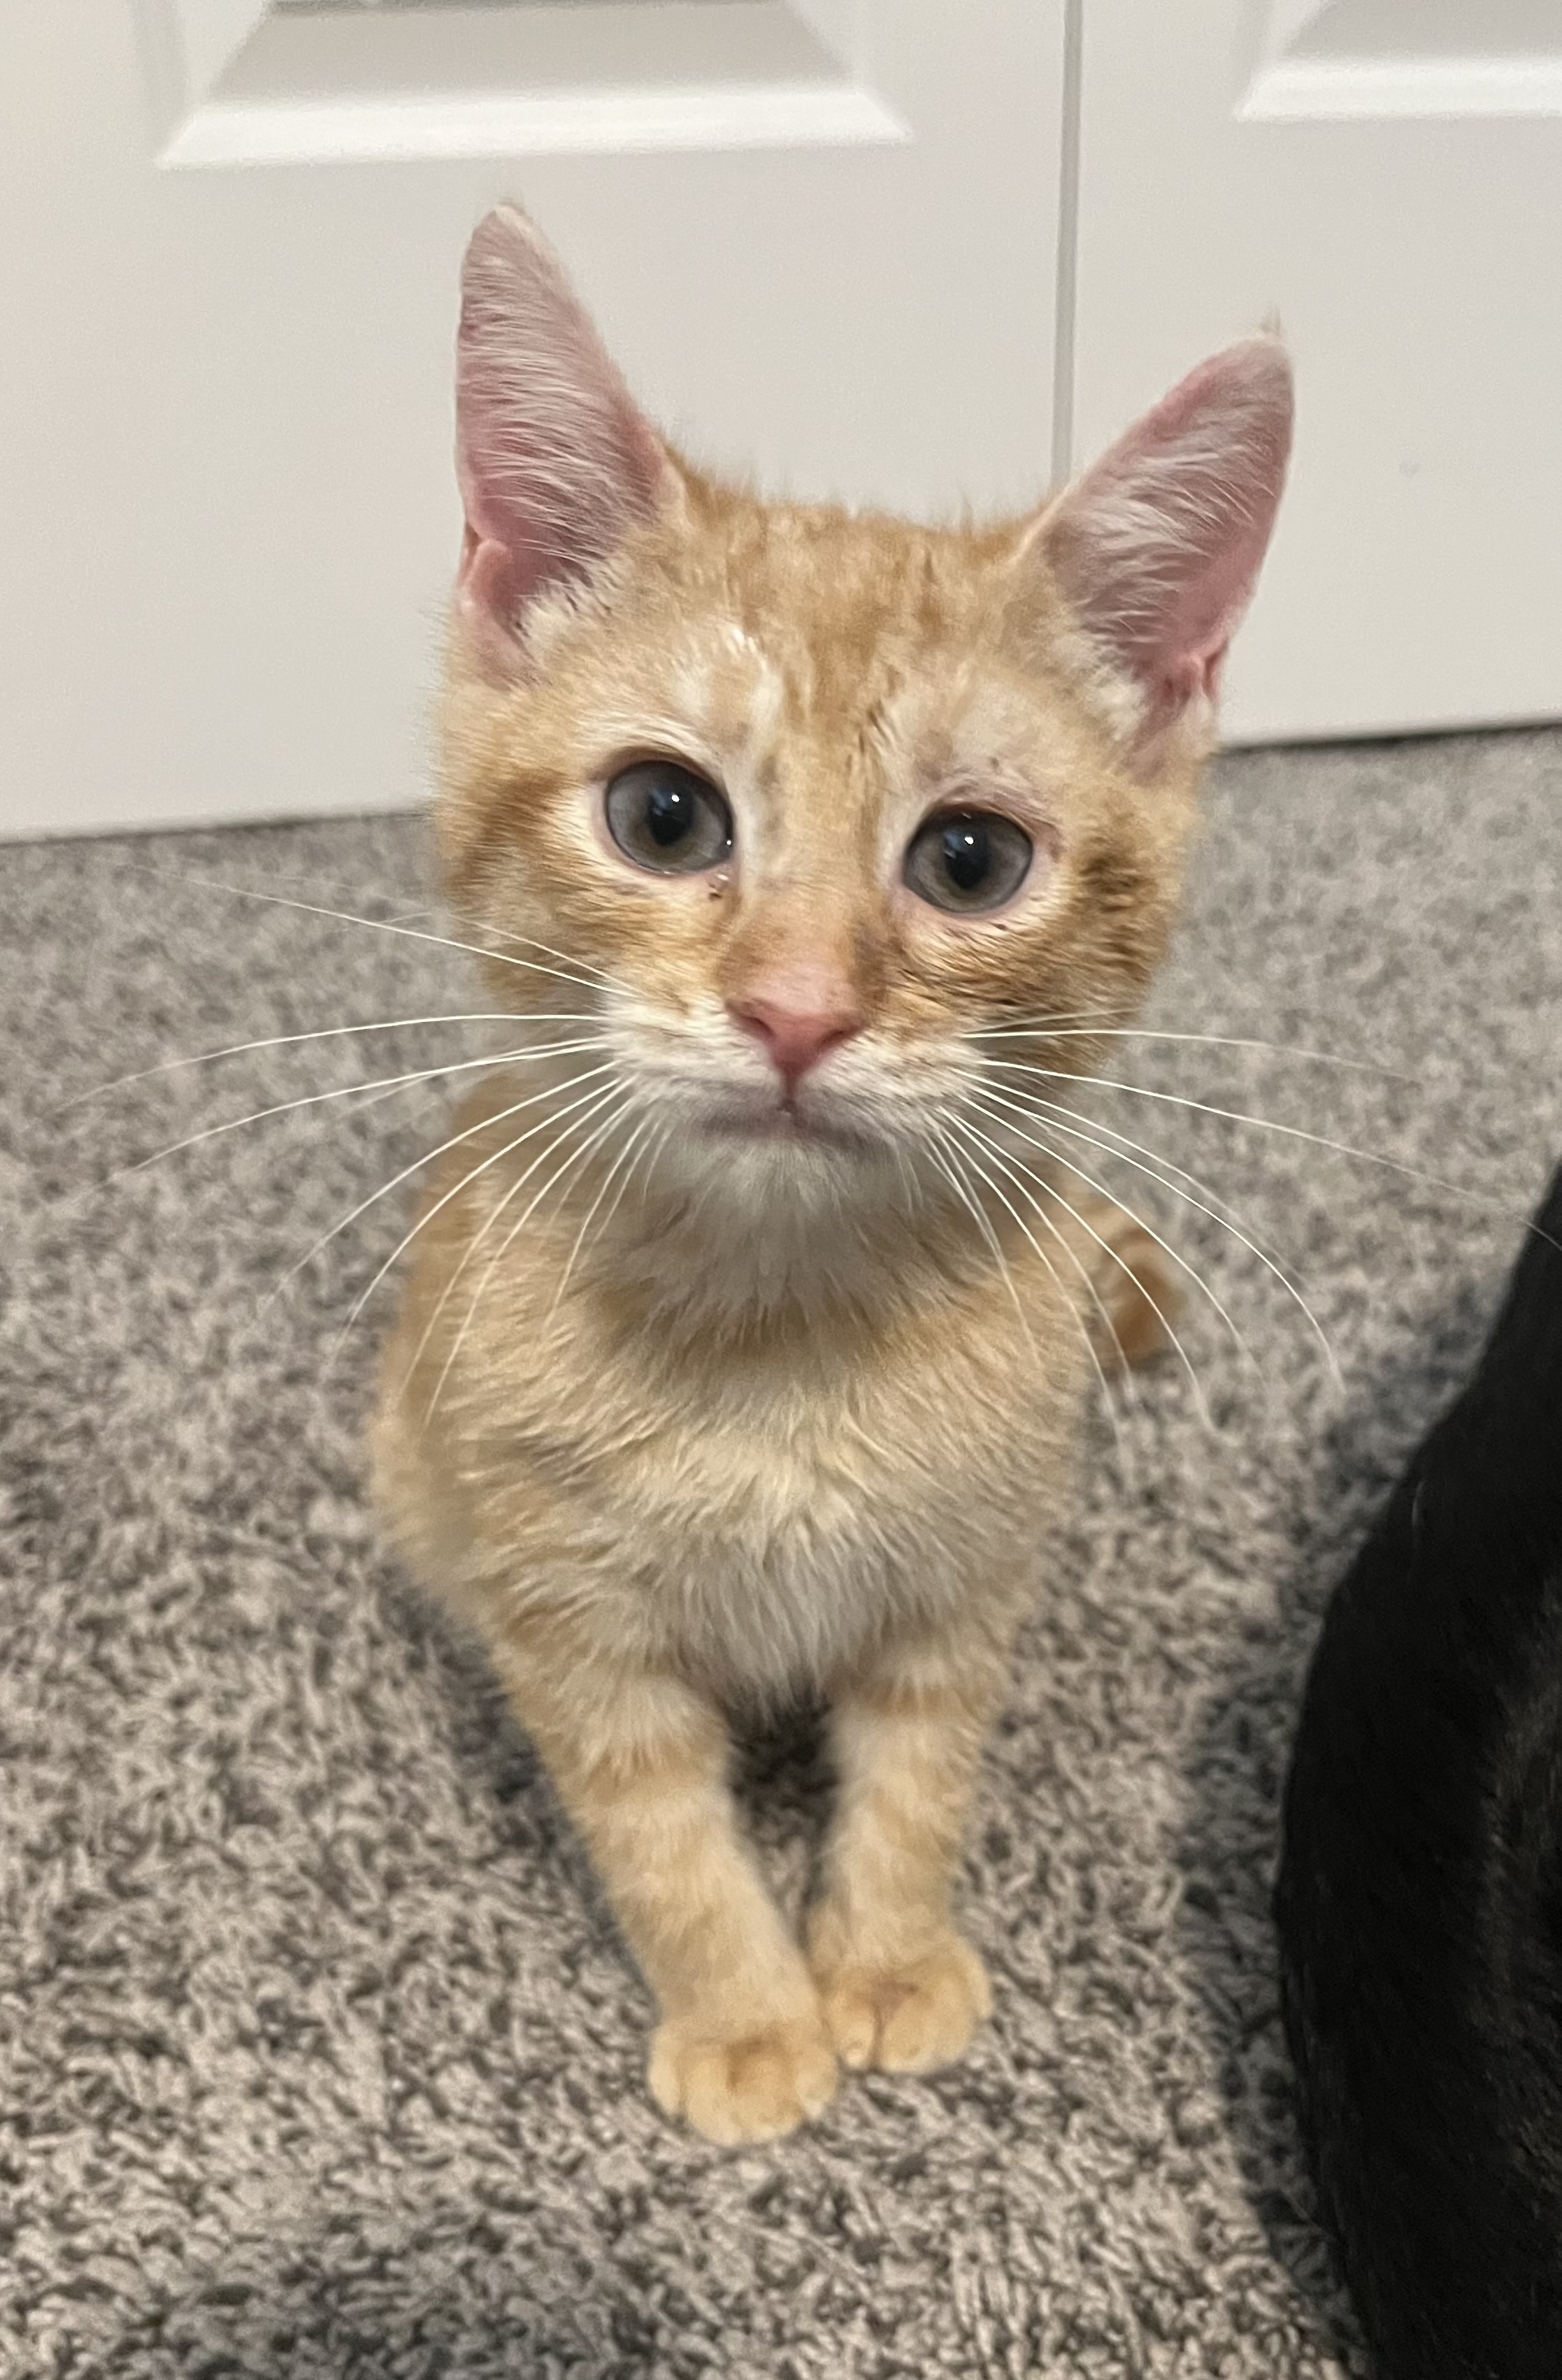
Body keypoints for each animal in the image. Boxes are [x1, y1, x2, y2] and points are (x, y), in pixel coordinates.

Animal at [368, 200, 1295, 2142]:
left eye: (970, 858)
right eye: (662, 815)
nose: (795, 1010)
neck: (780, 1325)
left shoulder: (969, 1573)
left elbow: (921, 1771)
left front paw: (878, 1951)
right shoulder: (569, 1620)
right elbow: (658, 1831)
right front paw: (744, 2009)